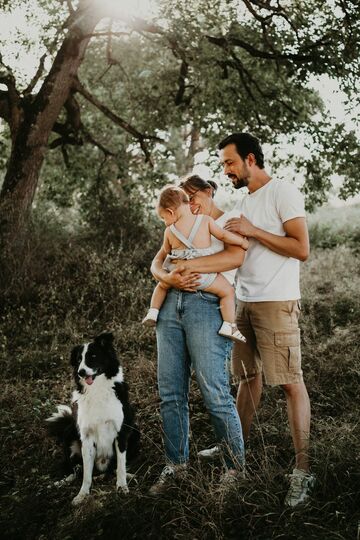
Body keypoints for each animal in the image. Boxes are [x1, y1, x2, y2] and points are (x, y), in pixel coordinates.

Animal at [46, 332, 139, 504]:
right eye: (78, 360)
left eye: (93, 356)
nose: (81, 372)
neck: (97, 390)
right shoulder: (87, 437)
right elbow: (86, 474)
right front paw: (82, 494)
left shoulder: (121, 433)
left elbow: (121, 465)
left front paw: (122, 486)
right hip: (69, 434)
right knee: (75, 470)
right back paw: (60, 482)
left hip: (135, 431)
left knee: (112, 468)